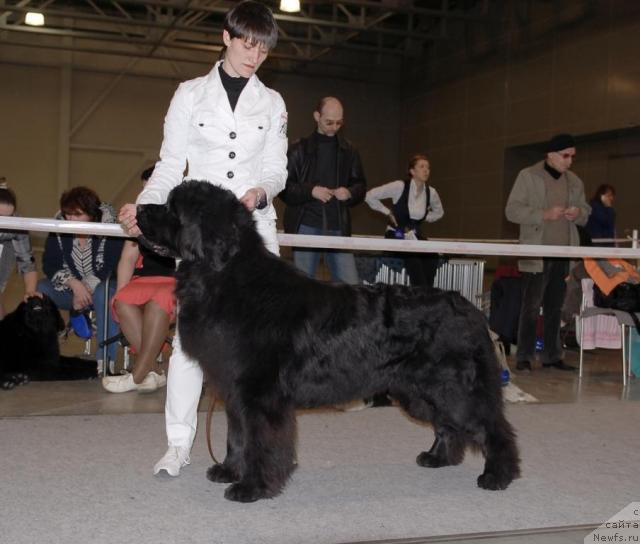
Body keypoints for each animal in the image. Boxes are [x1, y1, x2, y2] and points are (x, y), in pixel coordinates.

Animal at [136, 181, 520, 504]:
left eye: (172, 208)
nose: (138, 209)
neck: (224, 277)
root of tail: (470, 307)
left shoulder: (259, 394)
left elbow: (258, 441)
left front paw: (252, 487)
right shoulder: (235, 392)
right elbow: (237, 436)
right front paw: (229, 470)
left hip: (453, 387)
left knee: (491, 426)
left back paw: (498, 475)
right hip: (420, 390)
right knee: (448, 424)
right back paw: (438, 458)